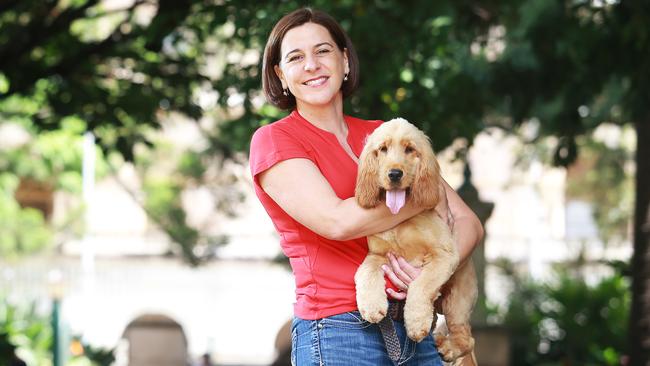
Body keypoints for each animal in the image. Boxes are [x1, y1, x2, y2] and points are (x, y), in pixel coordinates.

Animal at [354, 118, 476, 364]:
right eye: (383, 149)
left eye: (410, 149)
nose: (394, 174)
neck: (399, 220)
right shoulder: (377, 255)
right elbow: (365, 273)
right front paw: (371, 306)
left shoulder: (445, 255)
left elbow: (421, 285)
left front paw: (416, 323)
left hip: (457, 296)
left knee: (467, 338)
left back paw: (447, 347)